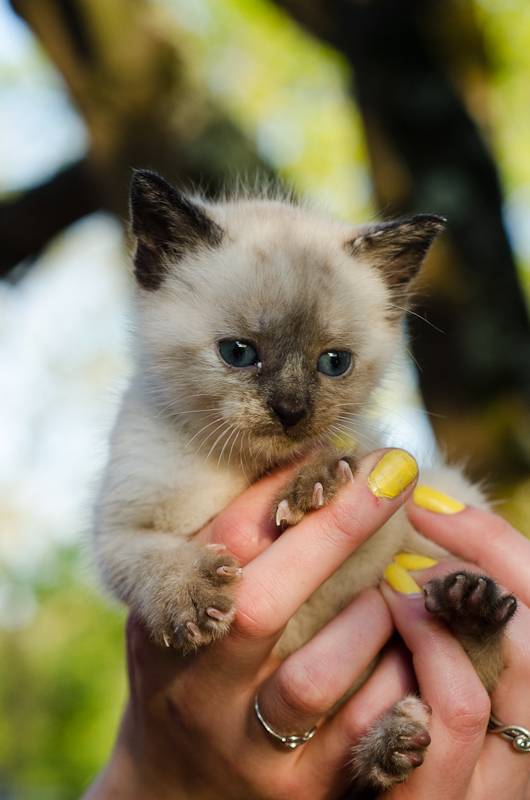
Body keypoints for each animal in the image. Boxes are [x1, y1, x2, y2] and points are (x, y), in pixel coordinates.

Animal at [93, 170, 512, 792]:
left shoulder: (386, 524)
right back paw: (392, 746)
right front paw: (193, 599)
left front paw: (311, 487)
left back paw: (457, 635)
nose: (291, 412)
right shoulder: (120, 531)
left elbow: (346, 459)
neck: (244, 470)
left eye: (334, 363)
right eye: (238, 353)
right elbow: (154, 558)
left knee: (479, 683)